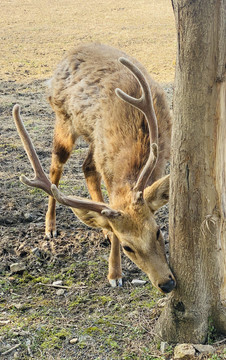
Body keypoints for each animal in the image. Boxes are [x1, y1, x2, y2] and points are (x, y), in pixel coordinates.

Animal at [13, 43, 176, 294]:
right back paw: (50, 227)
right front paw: (115, 274)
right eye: (128, 247)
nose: (167, 283)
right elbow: (112, 213)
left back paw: (102, 228)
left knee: (87, 167)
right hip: (65, 121)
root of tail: (72, 50)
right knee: (55, 170)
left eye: (158, 231)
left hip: (93, 139)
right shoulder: (107, 164)